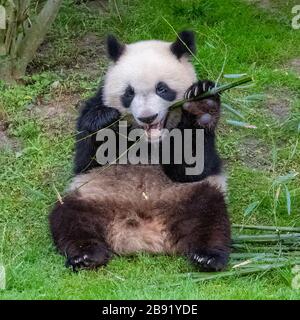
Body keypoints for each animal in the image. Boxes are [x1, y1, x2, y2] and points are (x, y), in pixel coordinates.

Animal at [50, 30, 231, 272]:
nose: (147, 117)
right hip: (92, 195)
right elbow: (86, 159)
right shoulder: (94, 105)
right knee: (71, 217)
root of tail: (141, 234)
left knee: (210, 217)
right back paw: (86, 255)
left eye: (162, 88)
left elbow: (192, 166)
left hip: (189, 195)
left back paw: (208, 256)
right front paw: (103, 120)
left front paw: (201, 105)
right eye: (129, 93)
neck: (148, 141)